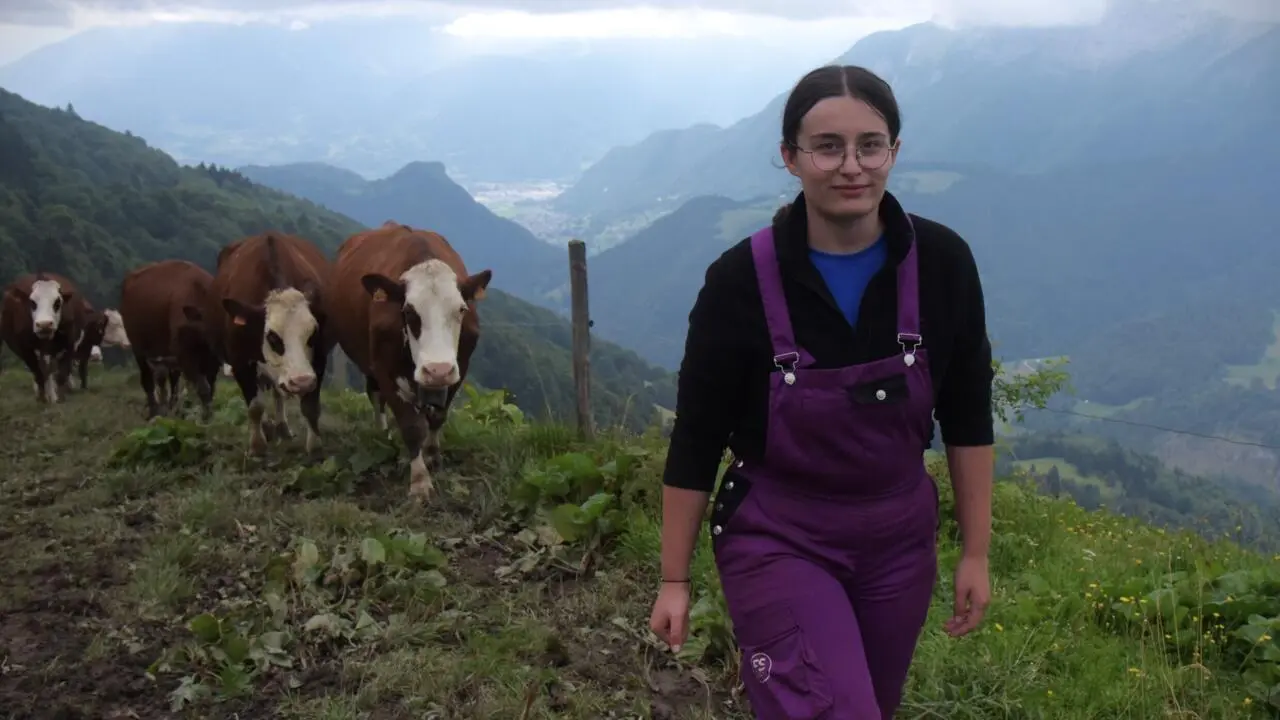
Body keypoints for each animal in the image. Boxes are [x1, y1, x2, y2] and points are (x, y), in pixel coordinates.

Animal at [0, 270, 87, 399]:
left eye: (57, 302)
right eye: (32, 302)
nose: (44, 324)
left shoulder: (69, 343)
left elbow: (62, 373)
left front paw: (60, 396)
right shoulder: (25, 348)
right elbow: (38, 373)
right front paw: (42, 397)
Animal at [120, 257, 222, 417]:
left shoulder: (212, 362)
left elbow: (210, 388)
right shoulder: (185, 356)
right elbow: (203, 387)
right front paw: (207, 416)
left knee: (170, 379)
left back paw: (172, 407)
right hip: (138, 348)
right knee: (148, 379)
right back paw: (154, 411)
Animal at [208, 233, 335, 450]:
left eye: (313, 333)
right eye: (272, 336)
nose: (301, 381)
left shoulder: (319, 358)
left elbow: (310, 406)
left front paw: (315, 446)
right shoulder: (239, 360)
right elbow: (255, 406)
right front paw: (257, 445)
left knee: (277, 391)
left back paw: (282, 427)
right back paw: (267, 427)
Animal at [327, 220, 491, 499]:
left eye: (461, 309)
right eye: (408, 311)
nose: (437, 370)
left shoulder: (460, 368)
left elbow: (438, 416)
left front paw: (433, 457)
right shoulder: (385, 370)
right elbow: (411, 427)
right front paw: (420, 481)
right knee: (375, 396)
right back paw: (382, 433)